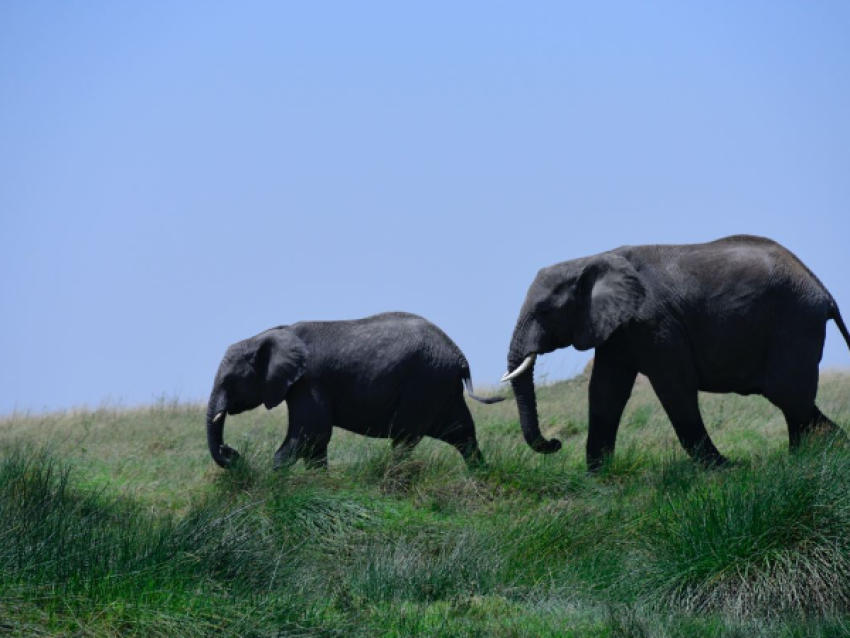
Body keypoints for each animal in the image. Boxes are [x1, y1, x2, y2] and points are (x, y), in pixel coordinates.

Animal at [206, 312, 503, 470]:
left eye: (230, 380)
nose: (230, 451)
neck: (274, 332)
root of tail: (460, 357)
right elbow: (315, 441)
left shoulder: (309, 380)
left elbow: (310, 433)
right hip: (440, 387)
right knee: (463, 434)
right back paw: (481, 476)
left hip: (425, 382)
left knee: (405, 437)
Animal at [502, 235, 850, 471]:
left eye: (544, 311)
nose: (555, 443)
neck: (589, 259)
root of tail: (824, 292)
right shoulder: (617, 329)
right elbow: (604, 391)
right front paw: (597, 477)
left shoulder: (654, 322)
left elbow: (674, 387)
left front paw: (723, 468)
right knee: (795, 404)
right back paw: (806, 458)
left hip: (793, 325)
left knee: (789, 396)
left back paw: (824, 455)